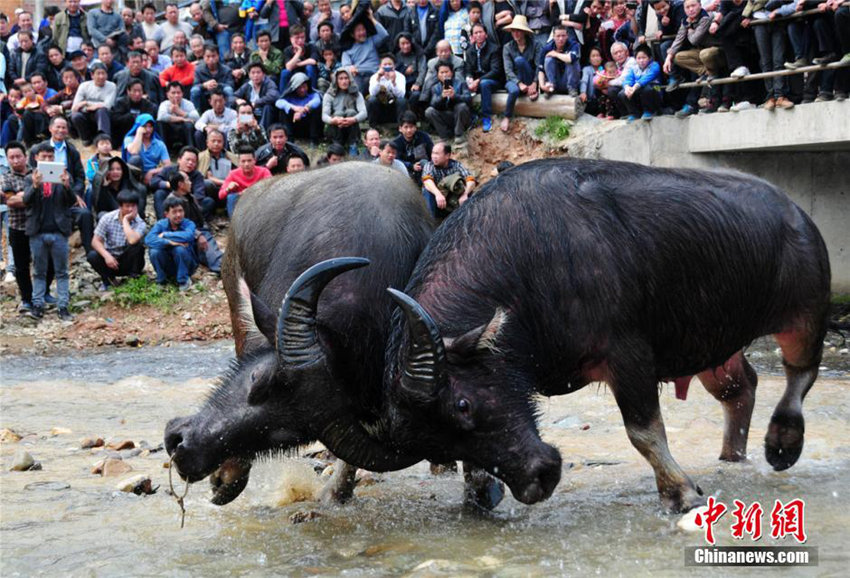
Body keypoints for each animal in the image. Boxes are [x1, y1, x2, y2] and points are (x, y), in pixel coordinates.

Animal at [388, 156, 832, 508]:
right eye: (435, 443)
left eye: (463, 404)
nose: (537, 483)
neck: (524, 260)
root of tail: (796, 211)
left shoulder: (628, 353)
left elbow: (643, 432)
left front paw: (681, 493)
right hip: (714, 342)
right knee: (741, 388)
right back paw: (731, 454)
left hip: (807, 314)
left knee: (801, 374)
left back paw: (782, 443)